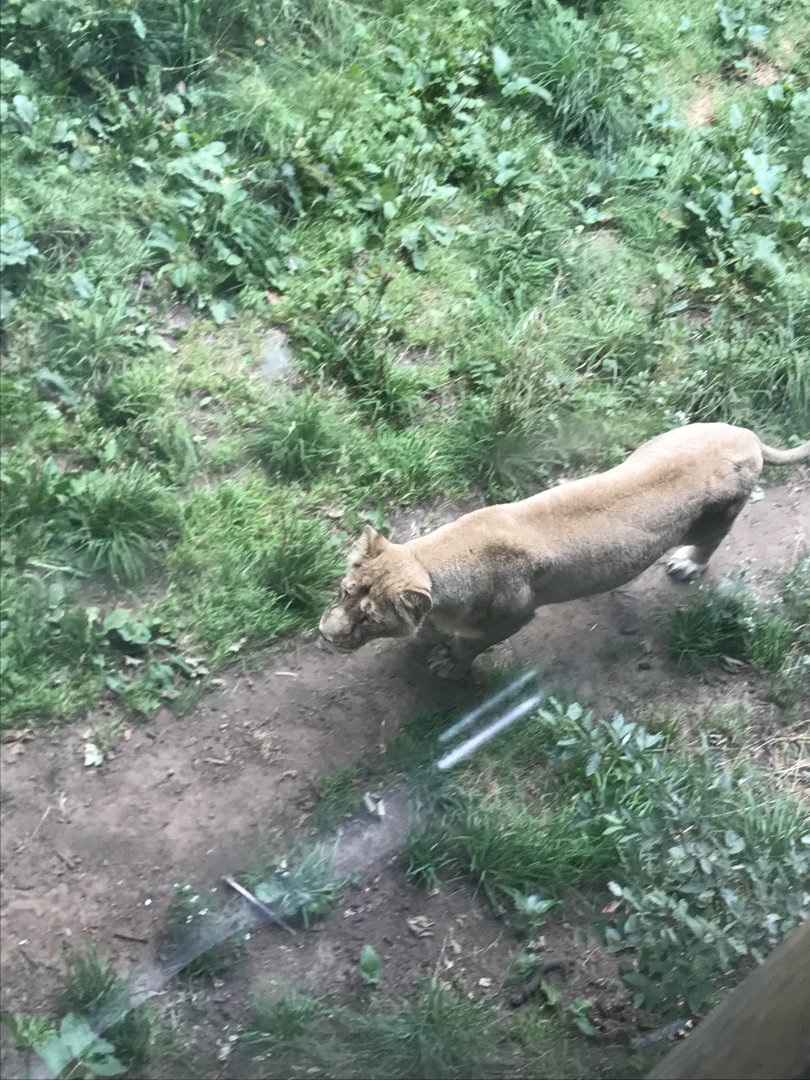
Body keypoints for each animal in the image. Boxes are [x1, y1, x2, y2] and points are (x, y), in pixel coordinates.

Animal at [319, 423, 810, 679]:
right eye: (344, 592)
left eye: (369, 619)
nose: (326, 634)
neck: (435, 560)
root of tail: (745, 434)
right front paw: (427, 640)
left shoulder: (514, 617)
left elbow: (469, 646)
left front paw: (448, 664)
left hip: (718, 516)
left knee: (712, 542)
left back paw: (688, 564)